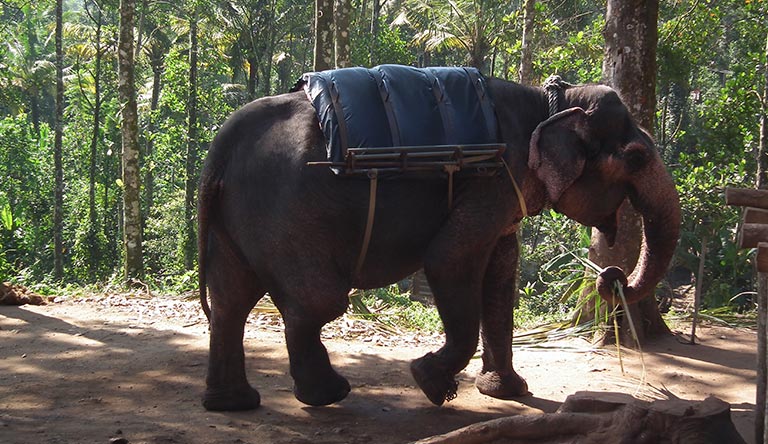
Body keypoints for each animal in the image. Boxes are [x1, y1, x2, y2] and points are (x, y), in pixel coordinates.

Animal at [196, 69, 681, 412]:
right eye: (637, 157)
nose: (611, 276)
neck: (550, 103)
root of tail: (221, 145)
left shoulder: (501, 192)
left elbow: (501, 272)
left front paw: (505, 392)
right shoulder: (493, 178)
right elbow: (450, 260)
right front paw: (430, 382)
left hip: (239, 214)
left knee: (230, 302)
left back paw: (233, 404)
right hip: (287, 214)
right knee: (315, 303)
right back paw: (328, 394)